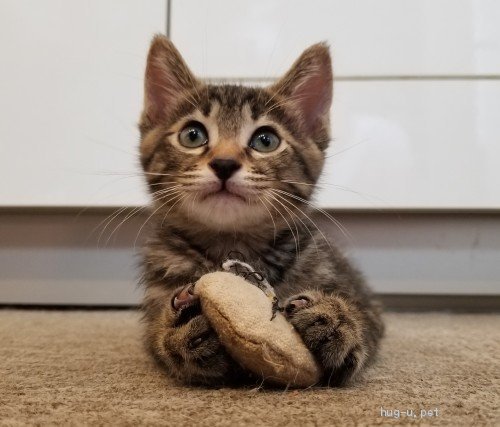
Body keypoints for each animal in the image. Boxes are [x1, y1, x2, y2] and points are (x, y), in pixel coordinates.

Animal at [139, 35, 384, 386]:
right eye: (192, 135)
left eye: (265, 140)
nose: (224, 163)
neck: (234, 244)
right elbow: (157, 340)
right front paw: (181, 330)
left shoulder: (357, 295)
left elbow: (366, 322)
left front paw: (336, 321)